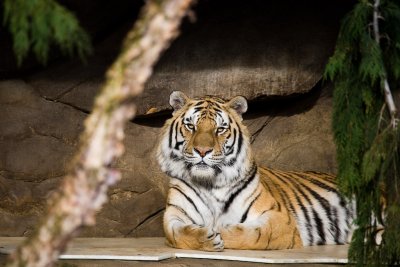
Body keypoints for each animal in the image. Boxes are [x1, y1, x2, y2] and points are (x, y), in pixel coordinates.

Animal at [157, 91, 356, 252]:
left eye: (220, 129)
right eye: (191, 126)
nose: (203, 151)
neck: (209, 183)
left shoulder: (280, 218)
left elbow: (254, 234)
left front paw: (219, 231)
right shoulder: (174, 215)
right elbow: (178, 234)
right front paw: (207, 237)